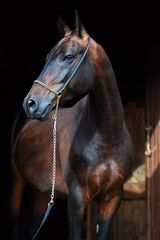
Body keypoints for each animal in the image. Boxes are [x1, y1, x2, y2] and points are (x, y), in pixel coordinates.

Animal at [10, 11, 134, 240]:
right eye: (47, 58)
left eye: (68, 56)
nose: (30, 103)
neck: (107, 136)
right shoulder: (76, 198)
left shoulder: (112, 199)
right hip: (16, 183)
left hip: (42, 193)